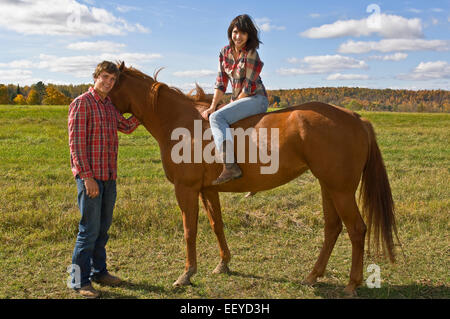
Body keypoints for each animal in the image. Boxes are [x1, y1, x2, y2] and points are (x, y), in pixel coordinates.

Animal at [110, 62, 400, 298]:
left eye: (108, 83)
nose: (96, 98)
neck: (181, 122)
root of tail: (356, 118)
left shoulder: (186, 190)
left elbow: (189, 231)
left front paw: (187, 273)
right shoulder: (208, 190)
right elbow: (217, 225)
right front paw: (224, 263)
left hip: (340, 190)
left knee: (356, 229)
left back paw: (352, 284)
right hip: (328, 187)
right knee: (333, 228)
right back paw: (312, 276)